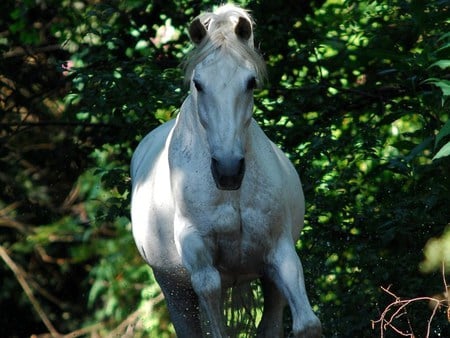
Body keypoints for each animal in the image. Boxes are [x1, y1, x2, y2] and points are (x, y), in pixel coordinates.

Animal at [130, 5, 320, 338]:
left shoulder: (280, 253)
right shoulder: (202, 270)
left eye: (250, 82)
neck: (231, 195)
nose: (228, 170)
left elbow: (307, 324)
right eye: (198, 83)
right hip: (175, 289)